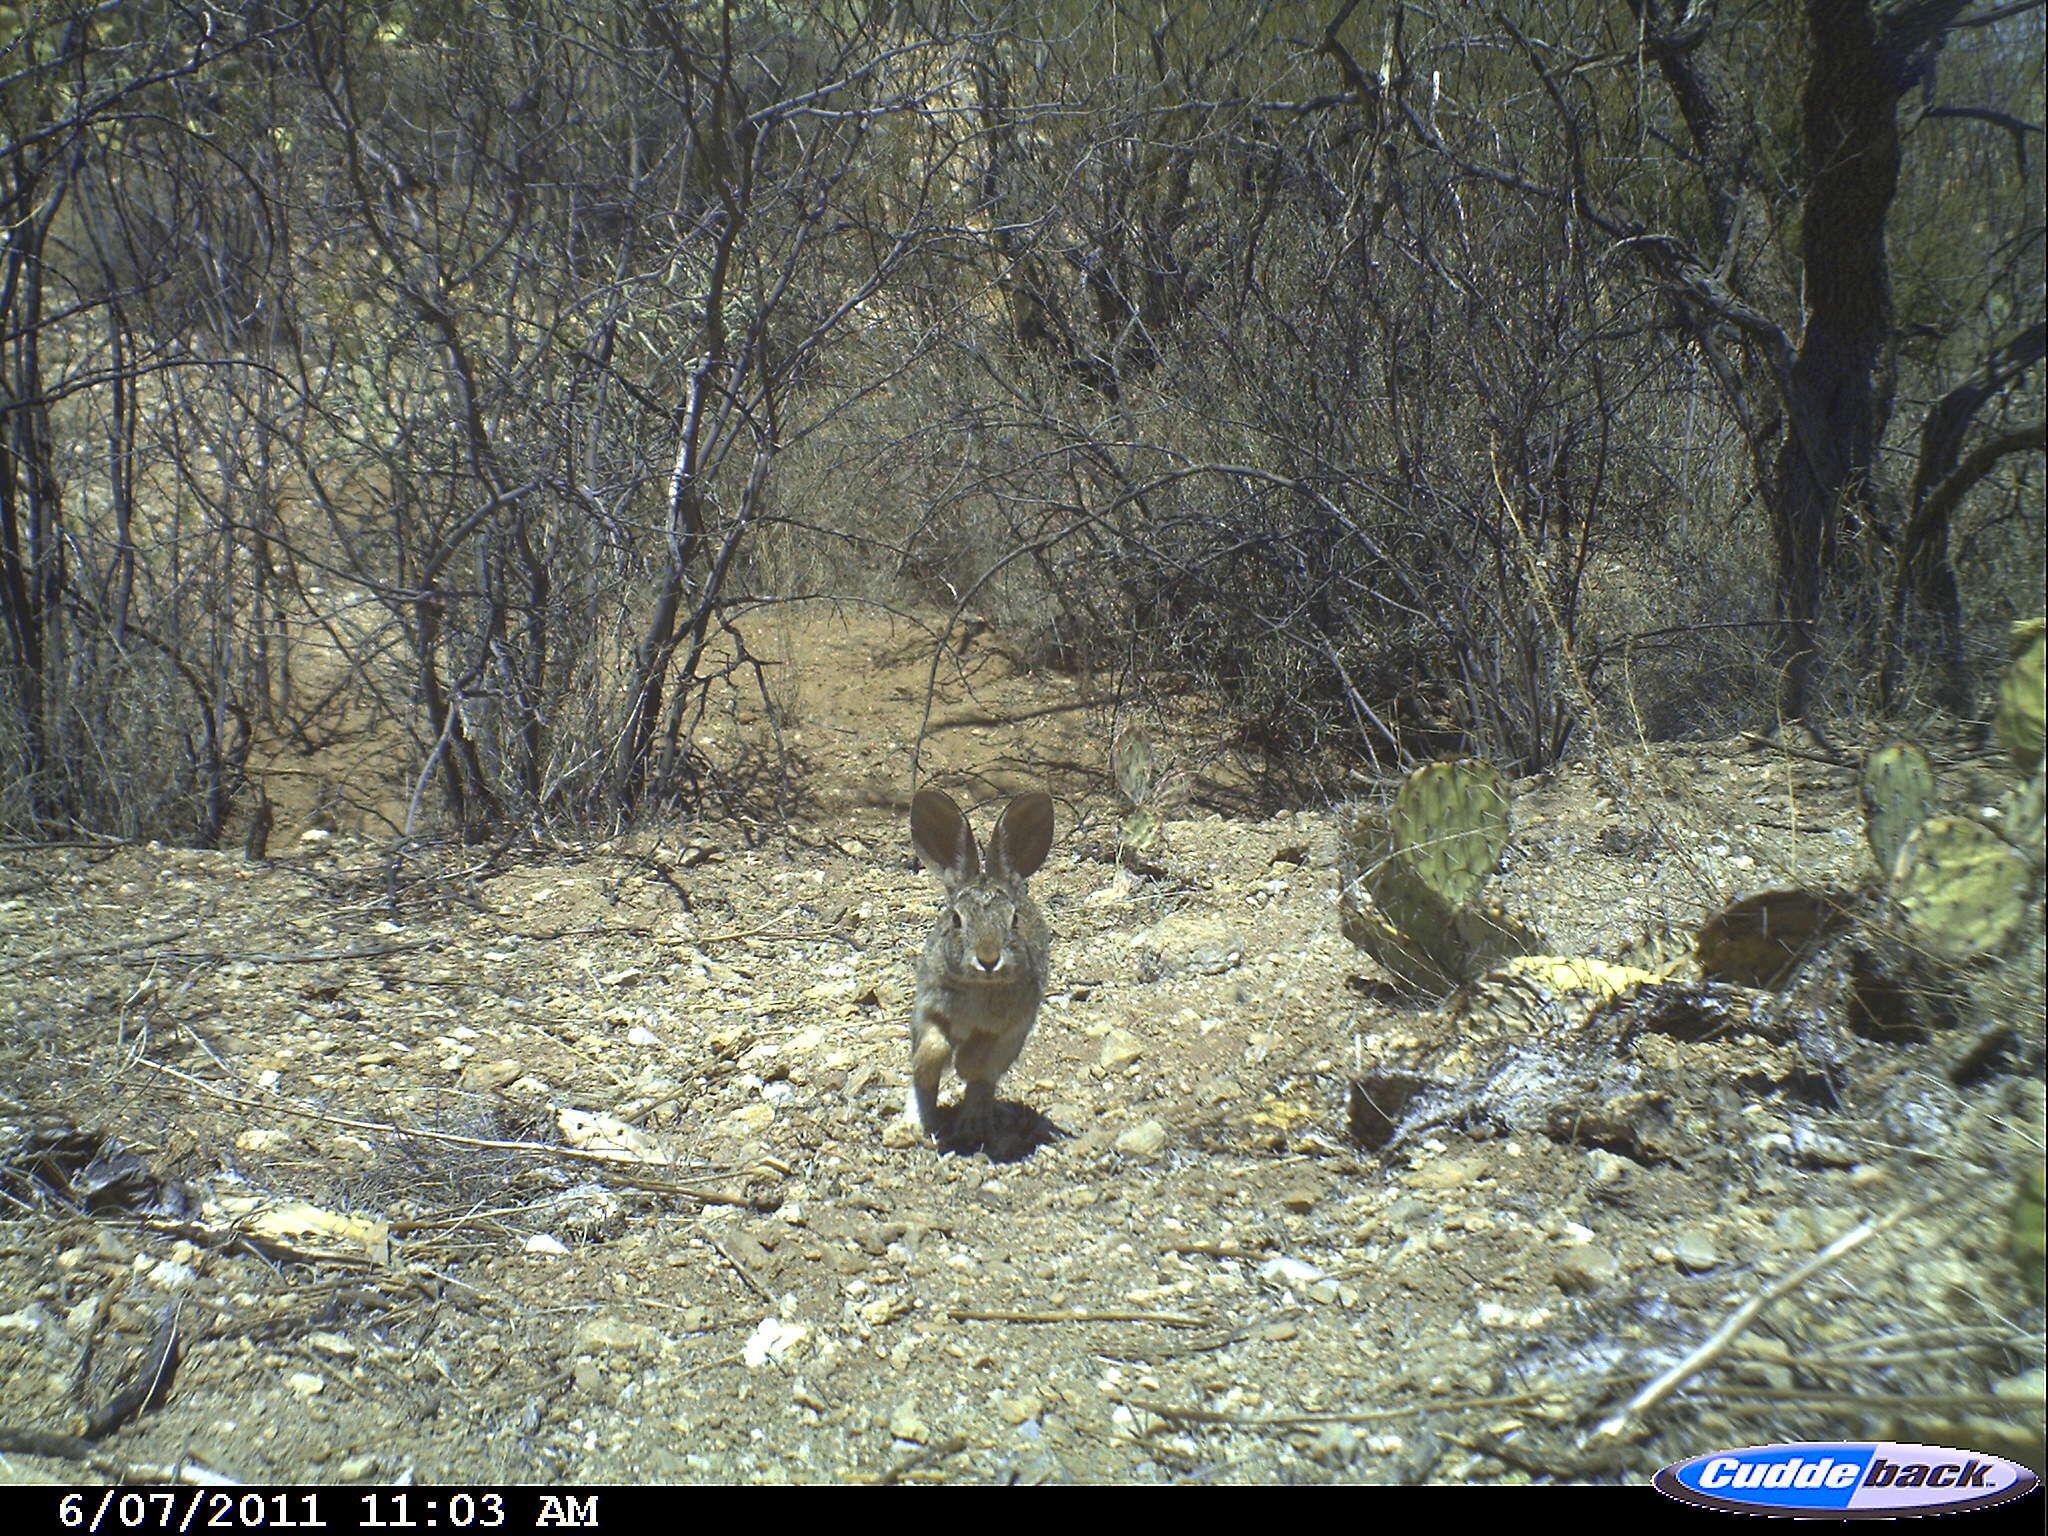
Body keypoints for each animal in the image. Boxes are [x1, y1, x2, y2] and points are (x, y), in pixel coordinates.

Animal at [909, 786, 1056, 1146]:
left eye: (1014, 920)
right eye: (955, 919)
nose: (988, 960)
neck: (980, 986)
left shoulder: (1009, 1026)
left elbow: (979, 1057)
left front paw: (963, 1064)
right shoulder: (929, 1009)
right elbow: (932, 1049)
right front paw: (930, 1067)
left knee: (983, 1086)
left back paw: (971, 1125)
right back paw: (922, 1122)